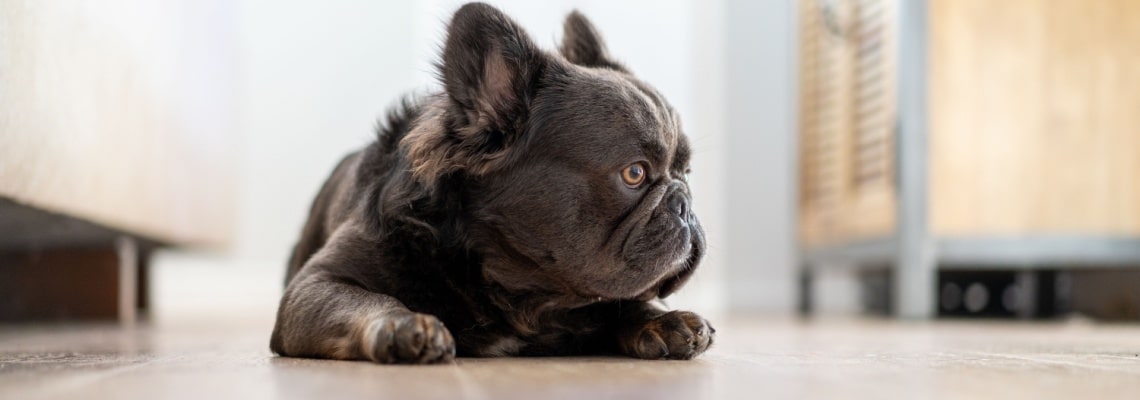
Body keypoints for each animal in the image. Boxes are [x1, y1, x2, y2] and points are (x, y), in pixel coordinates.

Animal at [269, 2, 711, 364]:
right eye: (634, 173)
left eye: (686, 173)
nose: (683, 202)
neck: (523, 290)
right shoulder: (314, 286)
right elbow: (369, 300)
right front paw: (403, 325)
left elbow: (621, 303)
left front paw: (661, 320)